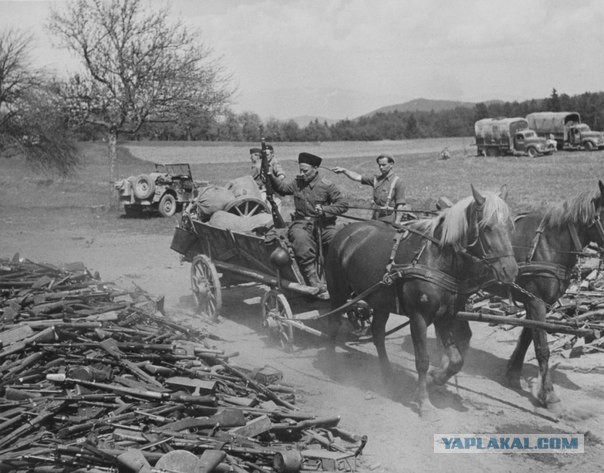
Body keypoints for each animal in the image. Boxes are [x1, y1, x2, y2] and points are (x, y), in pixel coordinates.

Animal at [326, 184, 520, 412]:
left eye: (509, 226)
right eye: (487, 227)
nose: (510, 270)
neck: (435, 259)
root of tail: (345, 231)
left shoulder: (445, 317)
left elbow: (456, 360)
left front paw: (434, 379)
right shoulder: (418, 317)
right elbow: (422, 360)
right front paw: (424, 402)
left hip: (380, 301)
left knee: (378, 334)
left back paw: (387, 375)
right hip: (338, 292)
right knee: (333, 324)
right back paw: (332, 366)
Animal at [484, 179, 604, 408]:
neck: (550, 243)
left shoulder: (538, 302)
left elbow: (527, 337)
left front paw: (513, 373)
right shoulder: (536, 301)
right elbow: (542, 347)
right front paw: (548, 394)